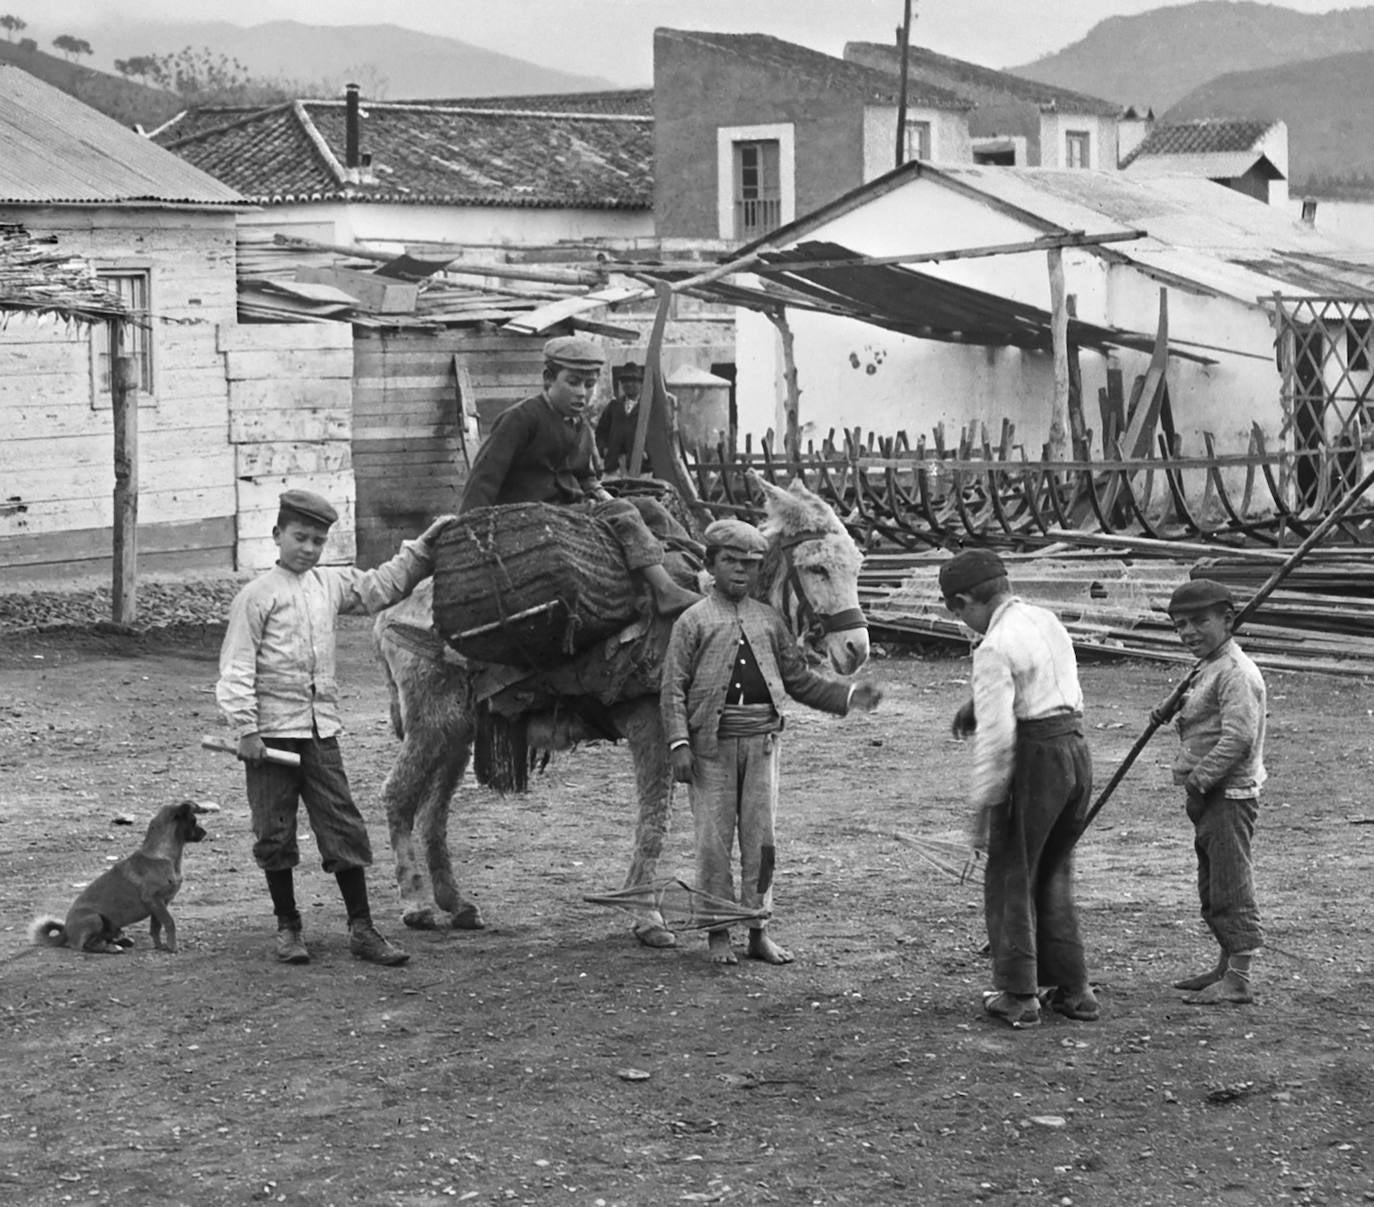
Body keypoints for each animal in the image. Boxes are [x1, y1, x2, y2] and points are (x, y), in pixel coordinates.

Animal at [28, 797, 211, 956]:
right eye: (194, 820)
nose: (205, 832)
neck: (165, 856)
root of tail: (66, 931)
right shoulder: (155, 901)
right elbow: (169, 923)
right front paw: (173, 946)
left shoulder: (161, 904)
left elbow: (155, 928)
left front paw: (160, 946)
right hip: (95, 918)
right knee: (86, 946)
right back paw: (111, 948)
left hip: (110, 925)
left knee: (102, 938)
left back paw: (121, 942)